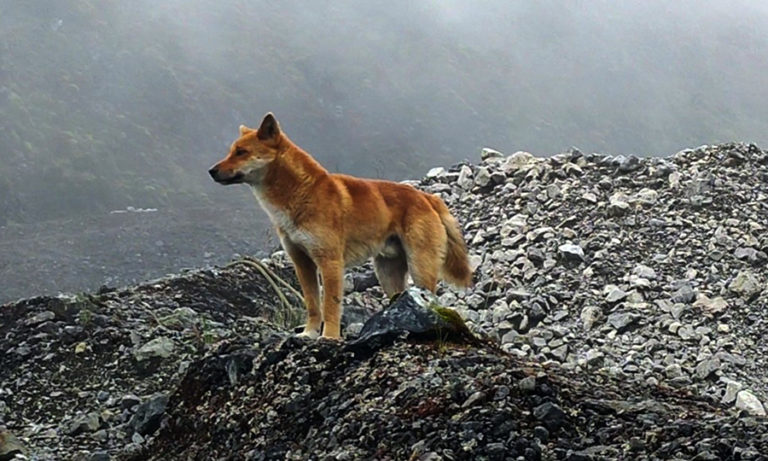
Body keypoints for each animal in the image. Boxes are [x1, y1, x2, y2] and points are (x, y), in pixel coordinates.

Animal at [210, 113, 474, 340]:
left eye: (241, 152)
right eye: (231, 151)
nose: (211, 171)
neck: (301, 194)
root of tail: (427, 197)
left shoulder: (329, 261)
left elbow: (330, 306)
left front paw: (329, 337)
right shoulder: (302, 263)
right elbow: (313, 305)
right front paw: (309, 333)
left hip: (420, 267)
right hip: (387, 273)